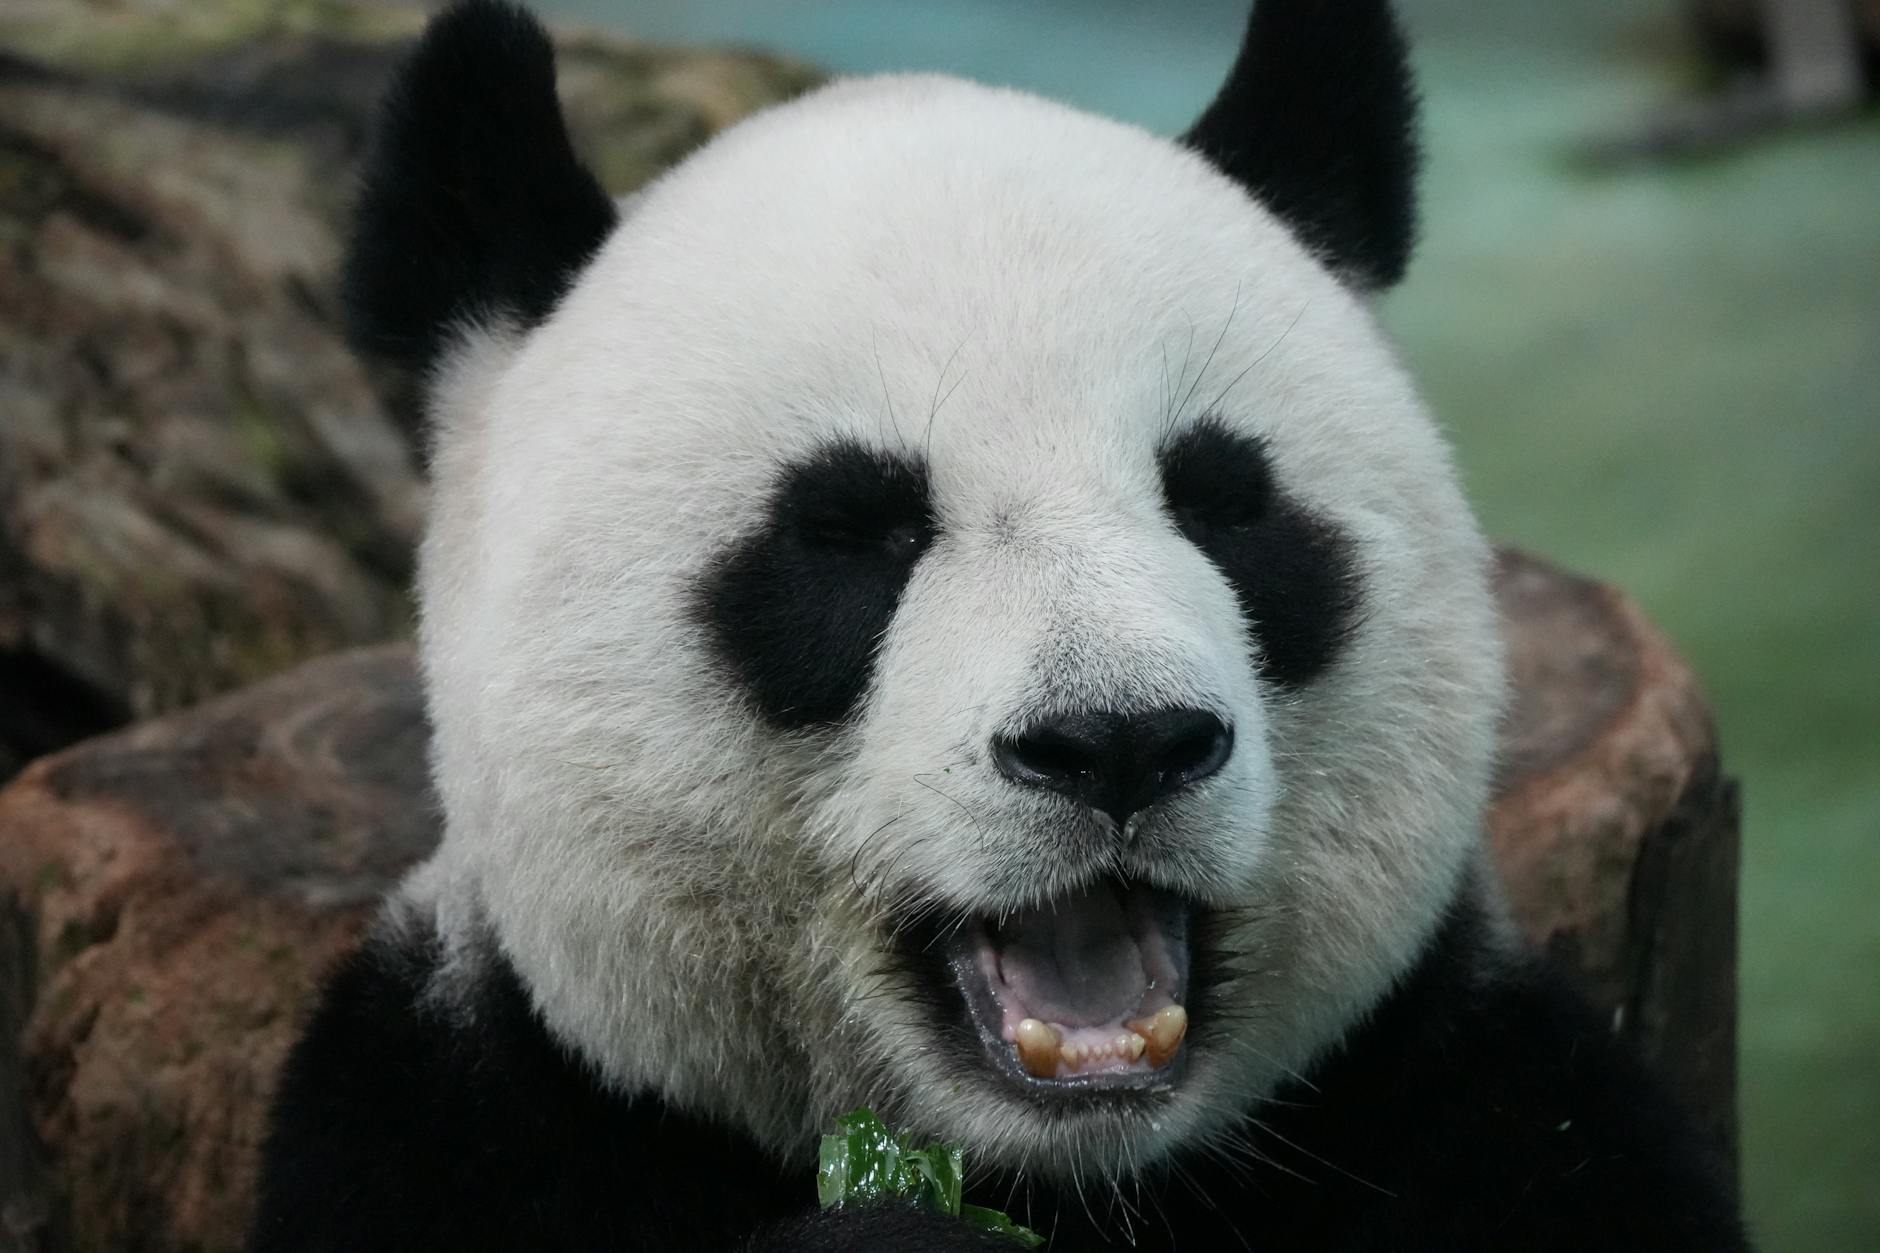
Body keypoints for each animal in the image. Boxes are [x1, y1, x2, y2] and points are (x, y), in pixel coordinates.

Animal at [249, 1, 1751, 1249]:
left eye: (1223, 500)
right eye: (852, 531)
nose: (1121, 741)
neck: (1072, 1174)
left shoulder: (1473, 1103)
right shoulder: (463, 1124)